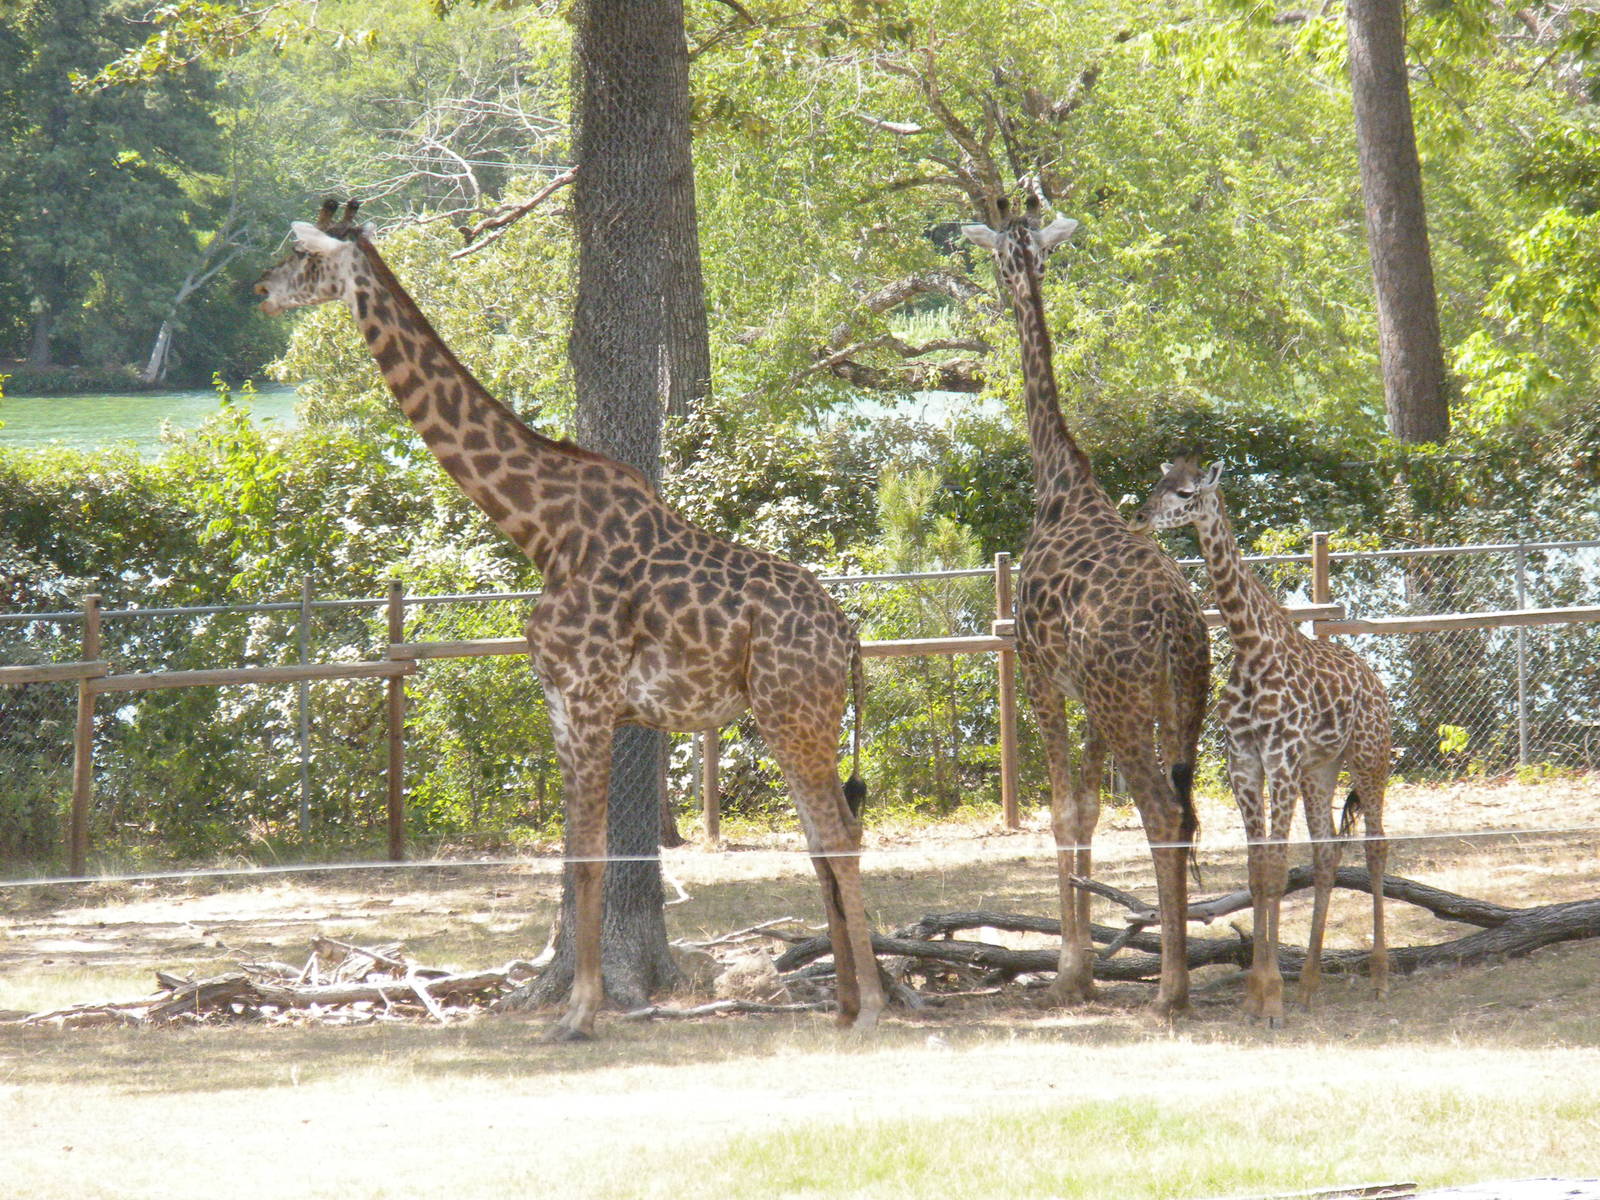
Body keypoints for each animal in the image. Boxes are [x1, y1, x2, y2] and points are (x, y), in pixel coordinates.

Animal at [255, 201, 883, 1039]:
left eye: (302, 254)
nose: (258, 289)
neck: (539, 528)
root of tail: (848, 635)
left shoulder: (588, 698)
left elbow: (589, 856)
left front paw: (581, 1013)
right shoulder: (559, 700)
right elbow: (573, 854)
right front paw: (583, 1004)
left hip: (796, 714)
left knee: (842, 838)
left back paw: (873, 1004)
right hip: (787, 718)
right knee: (822, 840)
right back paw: (843, 1003)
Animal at [962, 197, 1211, 1014]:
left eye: (998, 250)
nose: (1001, 272)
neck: (1057, 481)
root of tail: (1175, 623)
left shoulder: (1041, 674)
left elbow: (1064, 808)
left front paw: (1071, 970)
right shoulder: (1090, 696)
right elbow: (1092, 810)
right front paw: (1086, 967)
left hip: (1125, 698)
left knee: (1162, 810)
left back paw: (1171, 989)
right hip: (1183, 697)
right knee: (1192, 811)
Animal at [1132, 457, 1391, 1025]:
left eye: (1184, 492)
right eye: (1157, 482)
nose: (1139, 516)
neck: (1250, 643)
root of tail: (1376, 680)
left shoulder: (1281, 757)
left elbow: (1273, 869)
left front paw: (1270, 999)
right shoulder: (1246, 761)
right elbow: (1256, 872)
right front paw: (1256, 996)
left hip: (1369, 757)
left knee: (1376, 845)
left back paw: (1377, 976)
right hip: (1322, 769)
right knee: (1326, 853)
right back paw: (1309, 986)